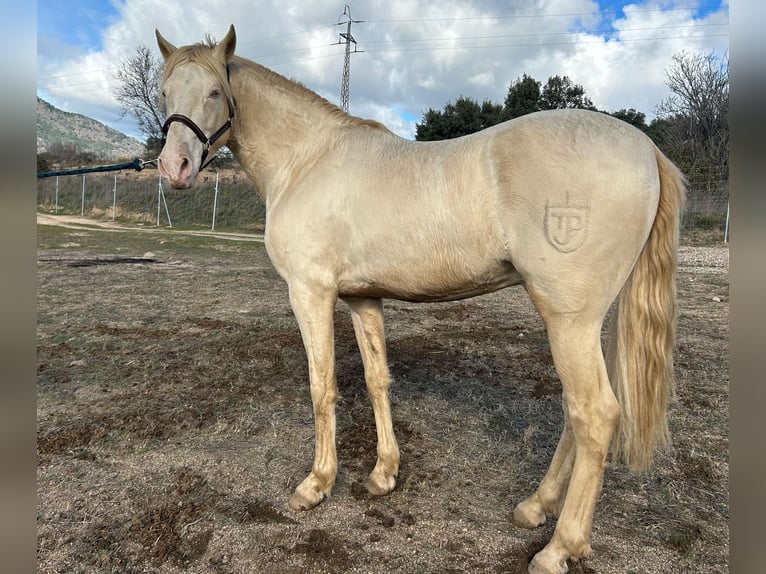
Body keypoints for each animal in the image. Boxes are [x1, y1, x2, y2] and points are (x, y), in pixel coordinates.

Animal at [156, 27, 688, 574]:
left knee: (595, 415)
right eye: (164, 92)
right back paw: (535, 507)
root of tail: (647, 149)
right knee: (574, 412)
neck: (308, 158)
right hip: (585, 323)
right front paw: (383, 474)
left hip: (569, 320)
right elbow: (377, 381)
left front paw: (317, 484)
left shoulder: (311, 292)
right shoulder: (362, 299)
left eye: (215, 91)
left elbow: (322, 386)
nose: (174, 167)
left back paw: (559, 547)